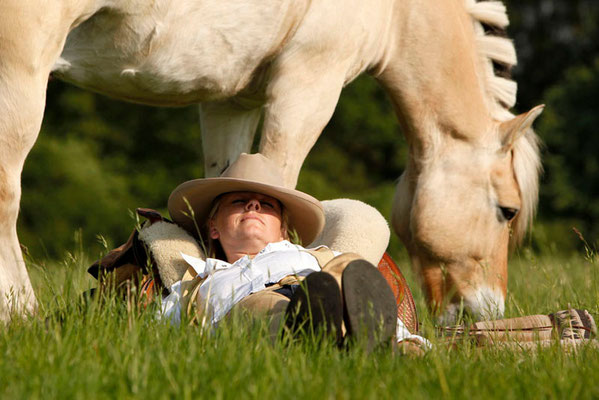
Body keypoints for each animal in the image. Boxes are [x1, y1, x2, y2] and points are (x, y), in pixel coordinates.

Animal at [0, 0, 544, 322]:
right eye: (508, 211)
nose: (488, 310)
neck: (398, 12)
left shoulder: (229, 103)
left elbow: (219, 188)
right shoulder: (309, 82)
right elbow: (280, 181)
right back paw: (21, 316)